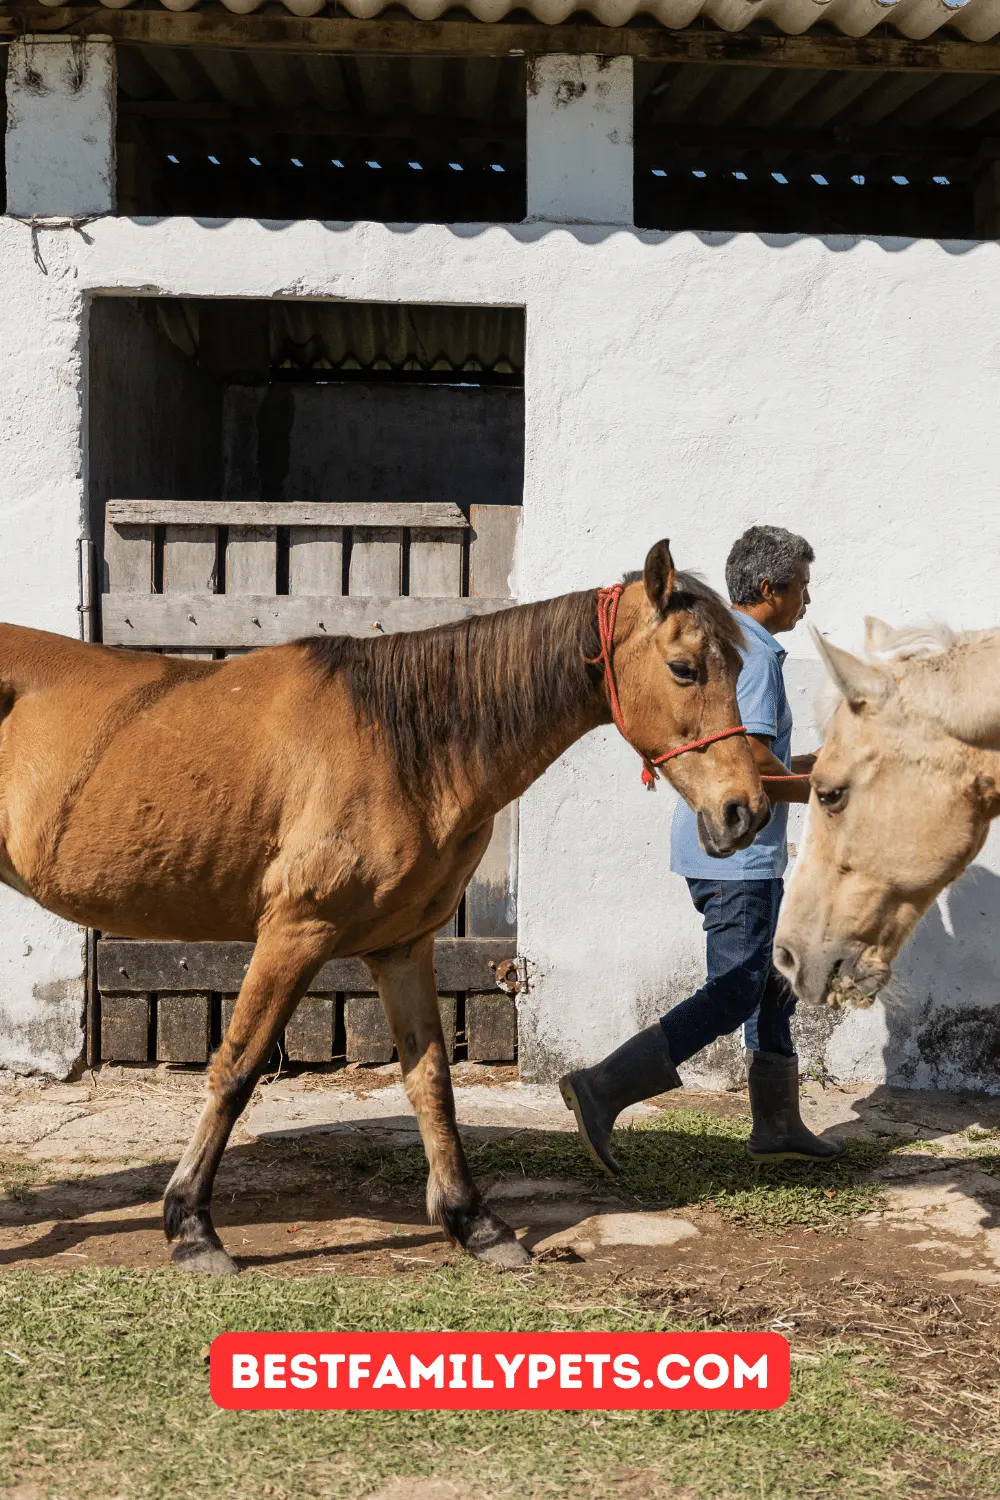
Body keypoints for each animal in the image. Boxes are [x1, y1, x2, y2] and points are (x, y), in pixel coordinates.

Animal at [1, 540, 767, 1266]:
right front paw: (191, 1226)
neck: (405, 747)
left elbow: (430, 1079)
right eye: (684, 668)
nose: (746, 812)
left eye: (736, 666)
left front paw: (475, 1223)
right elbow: (238, 1068)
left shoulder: (402, 947)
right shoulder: (295, 932)